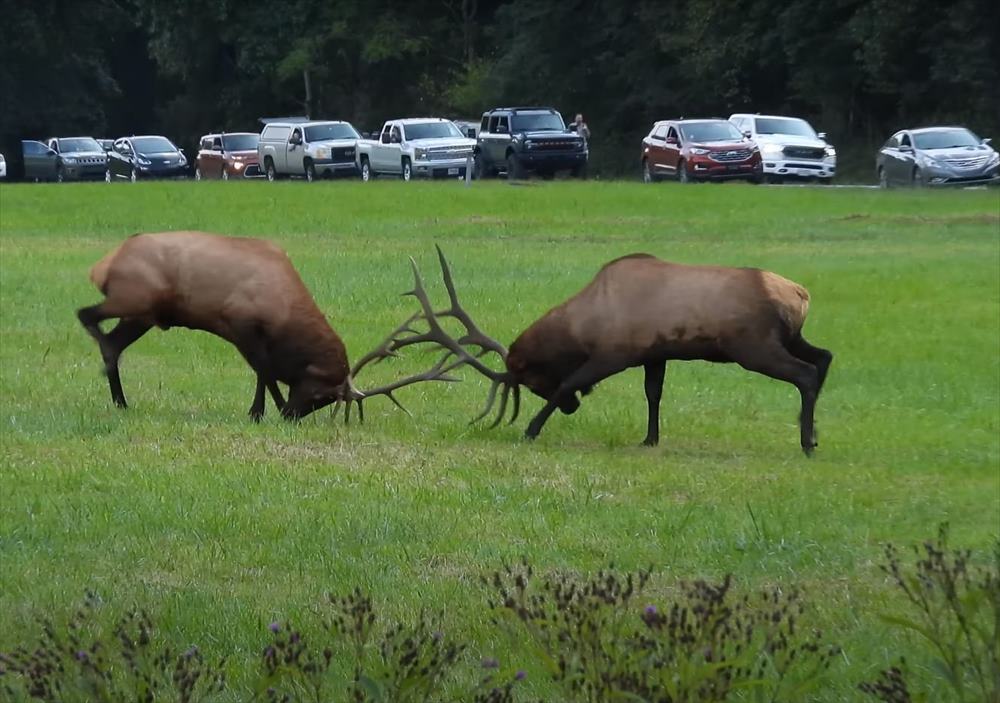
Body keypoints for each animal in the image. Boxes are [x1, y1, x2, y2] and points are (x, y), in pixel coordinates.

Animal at [76, 231, 458, 420]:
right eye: (321, 395)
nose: (292, 415)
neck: (285, 314)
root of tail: (102, 265)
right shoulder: (240, 320)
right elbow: (265, 368)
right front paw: (260, 411)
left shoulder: (240, 332)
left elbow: (266, 370)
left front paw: (266, 408)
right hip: (136, 299)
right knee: (87, 316)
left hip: (144, 315)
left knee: (112, 341)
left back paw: (121, 402)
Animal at [378, 248, 832, 456]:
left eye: (530, 379)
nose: (573, 410)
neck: (583, 326)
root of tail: (799, 294)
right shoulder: (655, 353)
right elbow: (653, 394)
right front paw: (650, 438)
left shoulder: (615, 353)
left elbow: (572, 381)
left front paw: (531, 428)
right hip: (788, 338)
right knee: (824, 357)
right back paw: (814, 433)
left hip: (753, 345)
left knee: (806, 373)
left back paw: (807, 442)